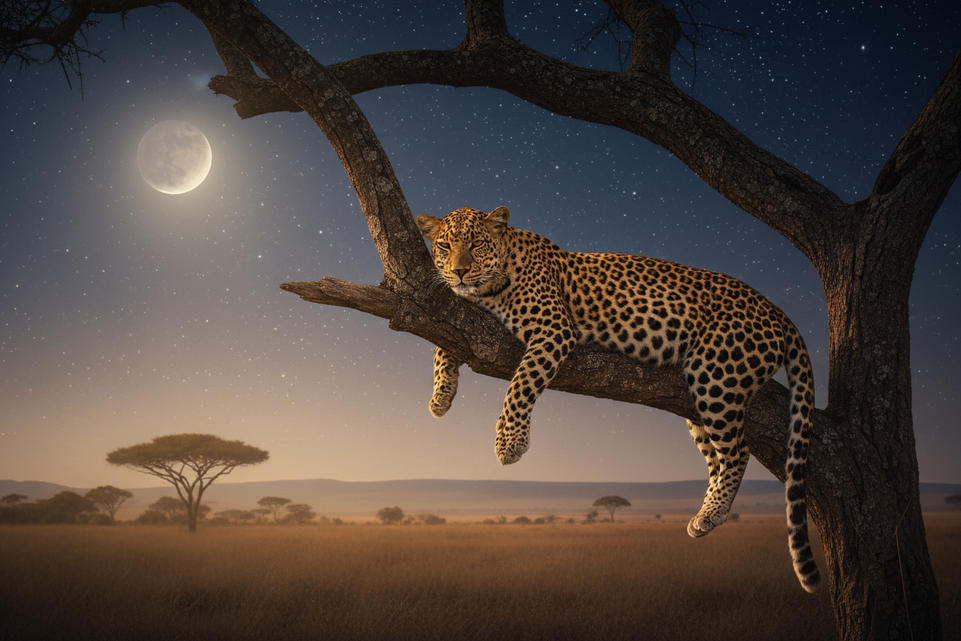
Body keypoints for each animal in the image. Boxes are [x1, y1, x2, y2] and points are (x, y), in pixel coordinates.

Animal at [416, 206, 820, 593]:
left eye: (476, 244)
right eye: (444, 246)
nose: (459, 272)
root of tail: (777, 311)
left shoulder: (553, 329)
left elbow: (520, 384)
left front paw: (509, 444)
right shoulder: (467, 316)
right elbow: (443, 344)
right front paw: (440, 398)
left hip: (716, 376)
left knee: (738, 452)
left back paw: (712, 512)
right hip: (699, 402)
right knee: (717, 458)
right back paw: (707, 513)